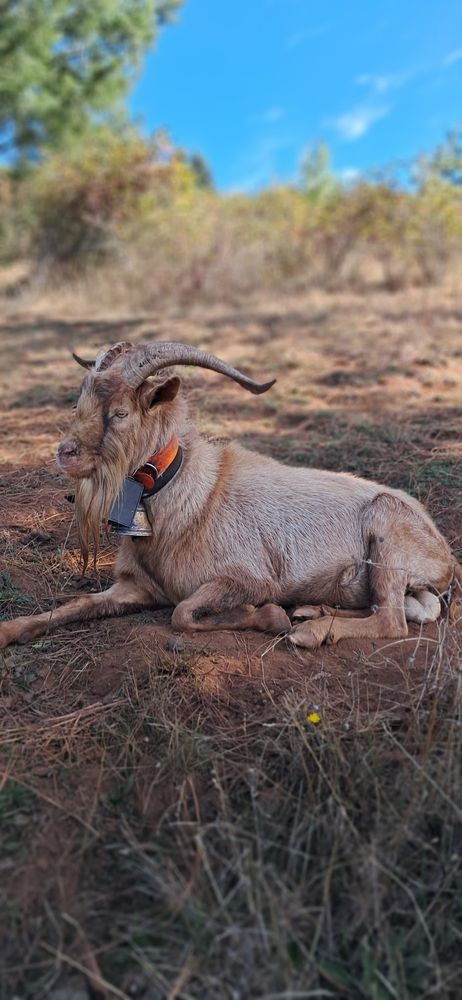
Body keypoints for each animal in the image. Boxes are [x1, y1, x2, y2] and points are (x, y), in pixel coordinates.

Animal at [0, 340, 460, 651]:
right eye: (79, 403)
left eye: (120, 412)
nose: (65, 454)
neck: (192, 499)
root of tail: (445, 556)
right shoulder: (136, 588)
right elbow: (76, 604)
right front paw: (10, 630)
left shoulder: (248, 577)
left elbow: (183, 613)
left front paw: (271, 616)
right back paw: (313, 611)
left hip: (387, 534)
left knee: (392, 622)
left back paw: (308, 630)